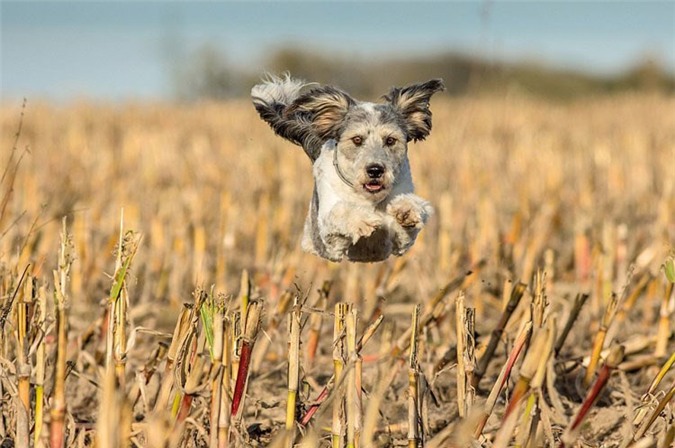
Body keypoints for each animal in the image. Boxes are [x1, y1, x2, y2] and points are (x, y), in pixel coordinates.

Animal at [251, 74, 446, 262]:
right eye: (357, 139)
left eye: (390, 140)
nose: (375, 170)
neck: (368, 199)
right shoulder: (331, 242)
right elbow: (339, 212)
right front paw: (363, 221)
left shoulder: (399, 244)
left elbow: (410, 217)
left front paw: (406, 211)